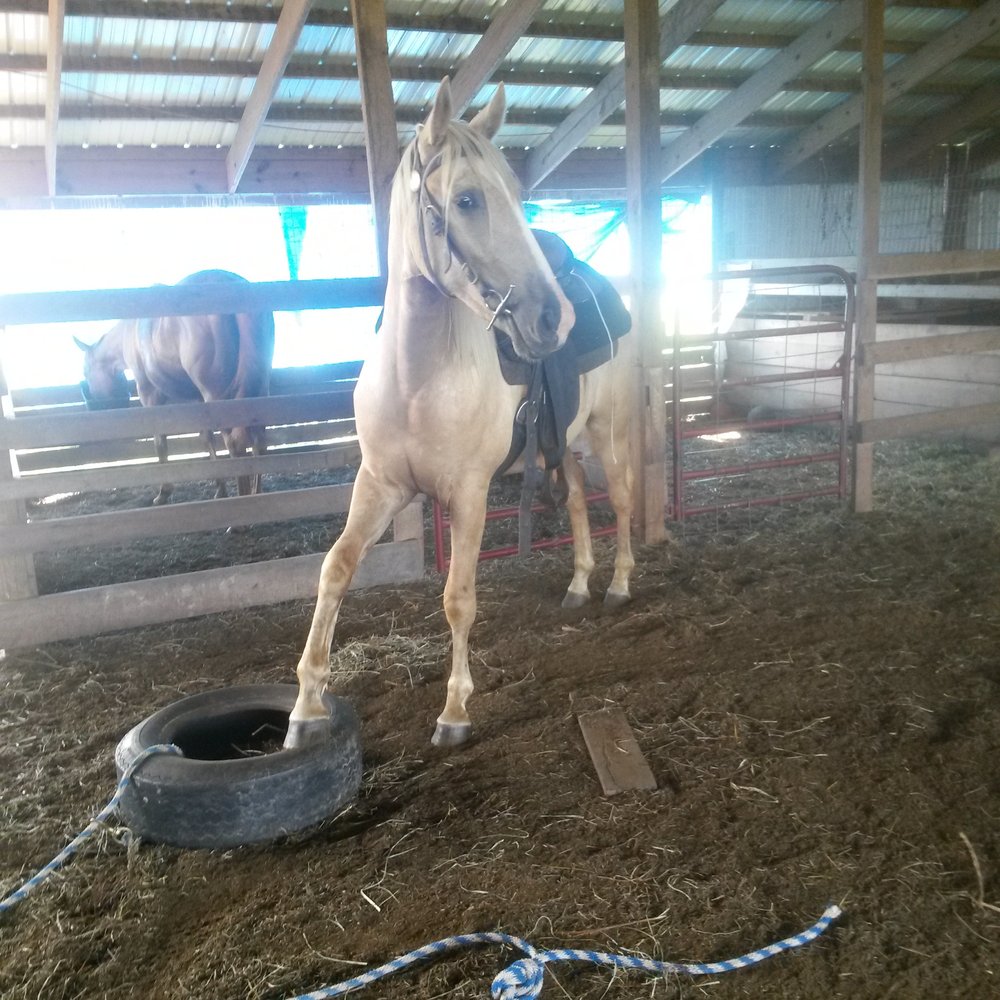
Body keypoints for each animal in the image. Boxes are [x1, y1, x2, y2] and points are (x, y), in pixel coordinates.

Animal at [77, 269, 276, 505]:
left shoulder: (150, 396)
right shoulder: (197, 400)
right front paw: (220, 489)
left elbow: (160, 441)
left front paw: (164, 492)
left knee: (236, 444)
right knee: (259, 440)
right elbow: (206, 438)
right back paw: (257, 494)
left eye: (85, 372)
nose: (93, 407)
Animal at [285, 78, 635, 750]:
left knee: (624, 500)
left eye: (518, 194)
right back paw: (579, 584)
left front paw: (454, 710)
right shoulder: (381, 485)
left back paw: (620, 585)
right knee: (580, 500)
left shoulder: (469, 493)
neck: (417, 378)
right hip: (566, 441)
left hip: (609, 432)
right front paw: (306, 708)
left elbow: (458, 597)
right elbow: (335, 570)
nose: (554, 319)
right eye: (468, 200)